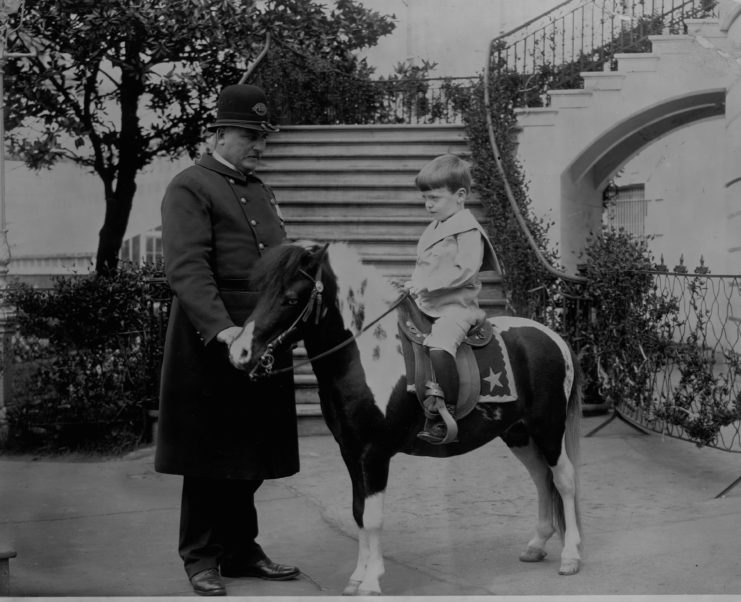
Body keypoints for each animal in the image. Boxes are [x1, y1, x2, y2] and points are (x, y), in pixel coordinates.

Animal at [228, 241, 580, 592]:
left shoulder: (374, 454)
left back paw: (570, 557)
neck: (365, 357)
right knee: (541, 478)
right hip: (518, 433)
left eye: (290, 298)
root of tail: (554, 337)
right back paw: (536, 545)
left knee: (563, 480)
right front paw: (358, 576)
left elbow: (372, 518)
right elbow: (358, 512)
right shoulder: (351, 453)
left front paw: (371, 580)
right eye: (260, 293)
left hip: (548, 428)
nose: (239, 352)